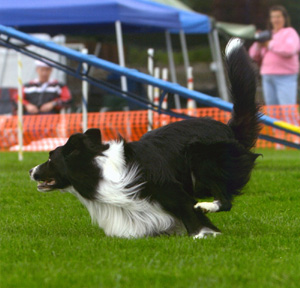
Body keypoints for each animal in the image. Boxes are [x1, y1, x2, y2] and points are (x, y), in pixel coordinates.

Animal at [29, 39, 262, 240]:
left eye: (50, 158)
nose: (31, 170)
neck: (98, 168)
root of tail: (228, 128)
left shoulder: (169, 188)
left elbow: (188, 211)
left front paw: (201, 234)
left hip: (201, 156)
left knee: (225, 200)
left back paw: (207, 205)